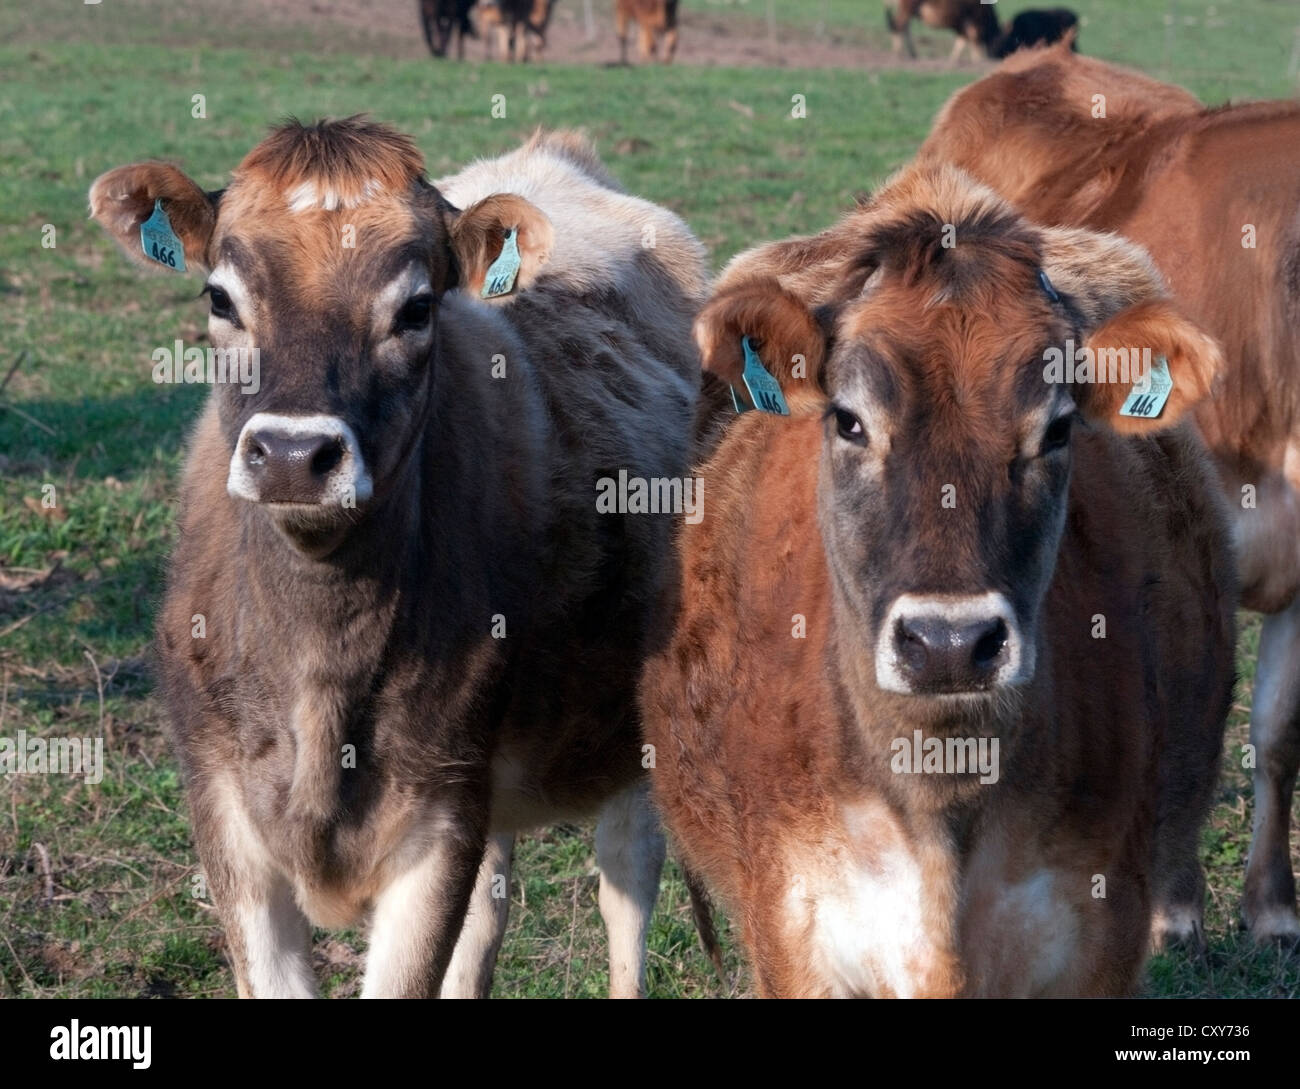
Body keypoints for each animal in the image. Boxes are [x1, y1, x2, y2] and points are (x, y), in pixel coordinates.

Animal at [87, 120, 708, 997]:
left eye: (416, 308)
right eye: (219, 297)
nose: (292, 454)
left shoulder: (438, 818)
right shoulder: (225, 815)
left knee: (627, 881)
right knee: (490, 911)